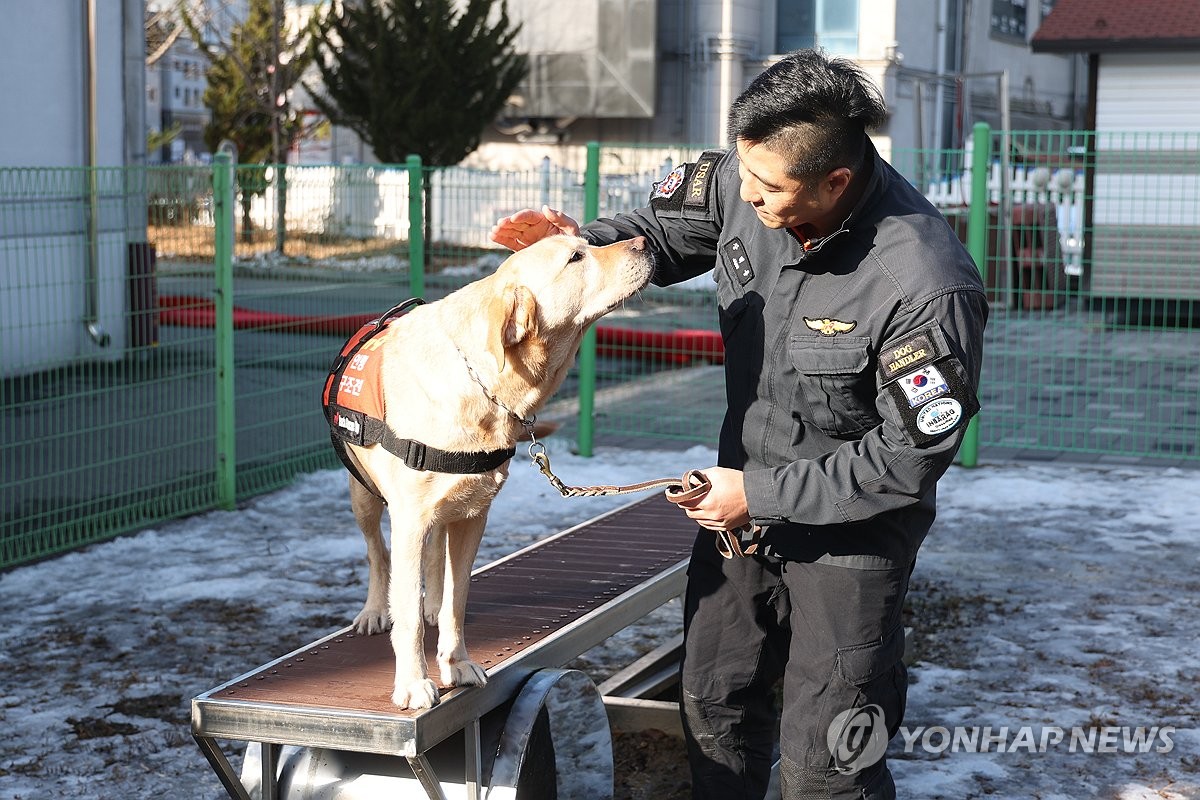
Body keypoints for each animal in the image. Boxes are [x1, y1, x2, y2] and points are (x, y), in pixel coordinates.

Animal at [326, 232, 648, 705]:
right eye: (575, 257)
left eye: (587, 242)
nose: (644, 243)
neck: (481, 382)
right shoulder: (408, 519)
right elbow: (406, 610)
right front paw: (413, 682)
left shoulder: (474, 515)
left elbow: (456, 598)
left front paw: (455, 663)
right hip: (363, 495)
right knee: (376, 553)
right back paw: (372, 611)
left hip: (449, 506)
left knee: (434, 561)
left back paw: (432, 604)